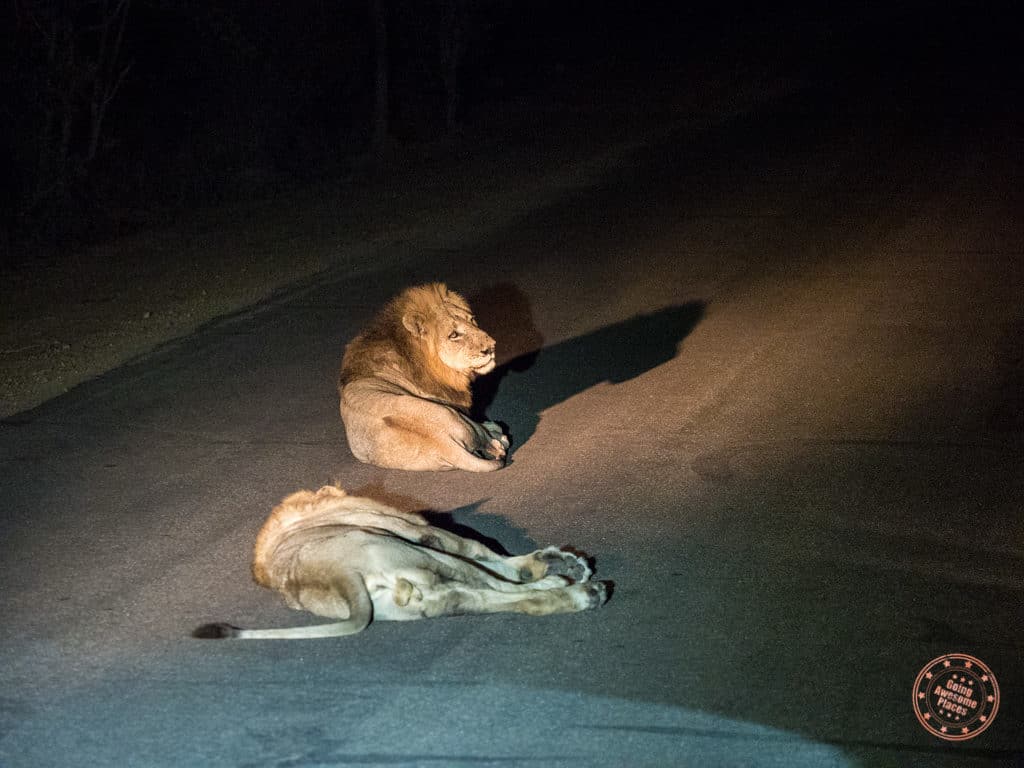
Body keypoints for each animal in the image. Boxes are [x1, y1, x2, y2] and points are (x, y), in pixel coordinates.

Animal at [193, 485, 609, 639]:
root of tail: (335, 574)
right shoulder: (418, 530)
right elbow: (486, 554)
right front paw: (562, 563)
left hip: (410, 595)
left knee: (481, 597)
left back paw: (578, 591)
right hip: (407, 546)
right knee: (494, 582)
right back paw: (573, 587)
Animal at [338, 283, 509, 472]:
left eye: (471, 320)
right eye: (454, 335)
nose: (491, 347)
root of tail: (444, 444)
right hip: (450, 413)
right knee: (483, 435)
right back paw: (498, 436)